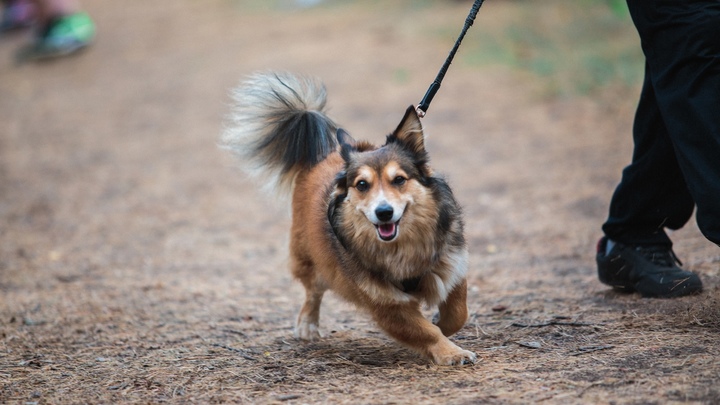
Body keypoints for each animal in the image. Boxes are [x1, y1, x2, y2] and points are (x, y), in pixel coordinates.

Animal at [222, 72, 476, 366]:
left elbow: (458, 312)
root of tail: (321, 155)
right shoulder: (385, 303)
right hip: (312, 259)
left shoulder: (452, 266)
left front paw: (443, 326)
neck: (402, 247)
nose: (384, 212)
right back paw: (307, 324)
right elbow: (425, 331)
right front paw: (450, 351)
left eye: (399, 180)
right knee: (313, 292)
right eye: (362, 185)